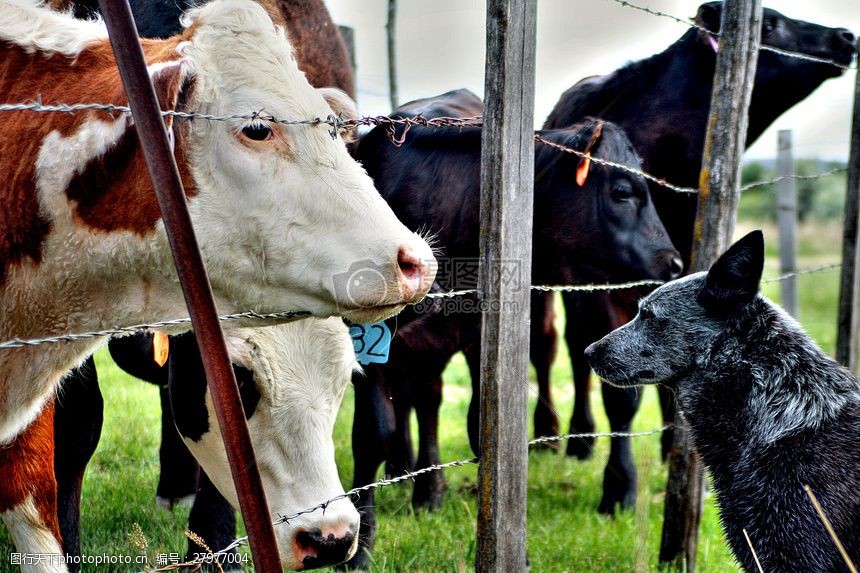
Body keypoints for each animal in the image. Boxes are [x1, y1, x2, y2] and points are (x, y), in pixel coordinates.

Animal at [346, 89, 680, 568]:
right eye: (622, 192)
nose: (673, 263)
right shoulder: (370, 341)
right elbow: (374, 433)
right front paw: (360, 547)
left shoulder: (478, 333)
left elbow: (480, 426)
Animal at [540, 2, 856, 470]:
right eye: (769, 24)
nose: (845, 36)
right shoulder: (604, 282)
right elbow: (622, 390)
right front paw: (620, 481)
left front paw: (675, 449)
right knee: (561, 348)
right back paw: (571, 438)